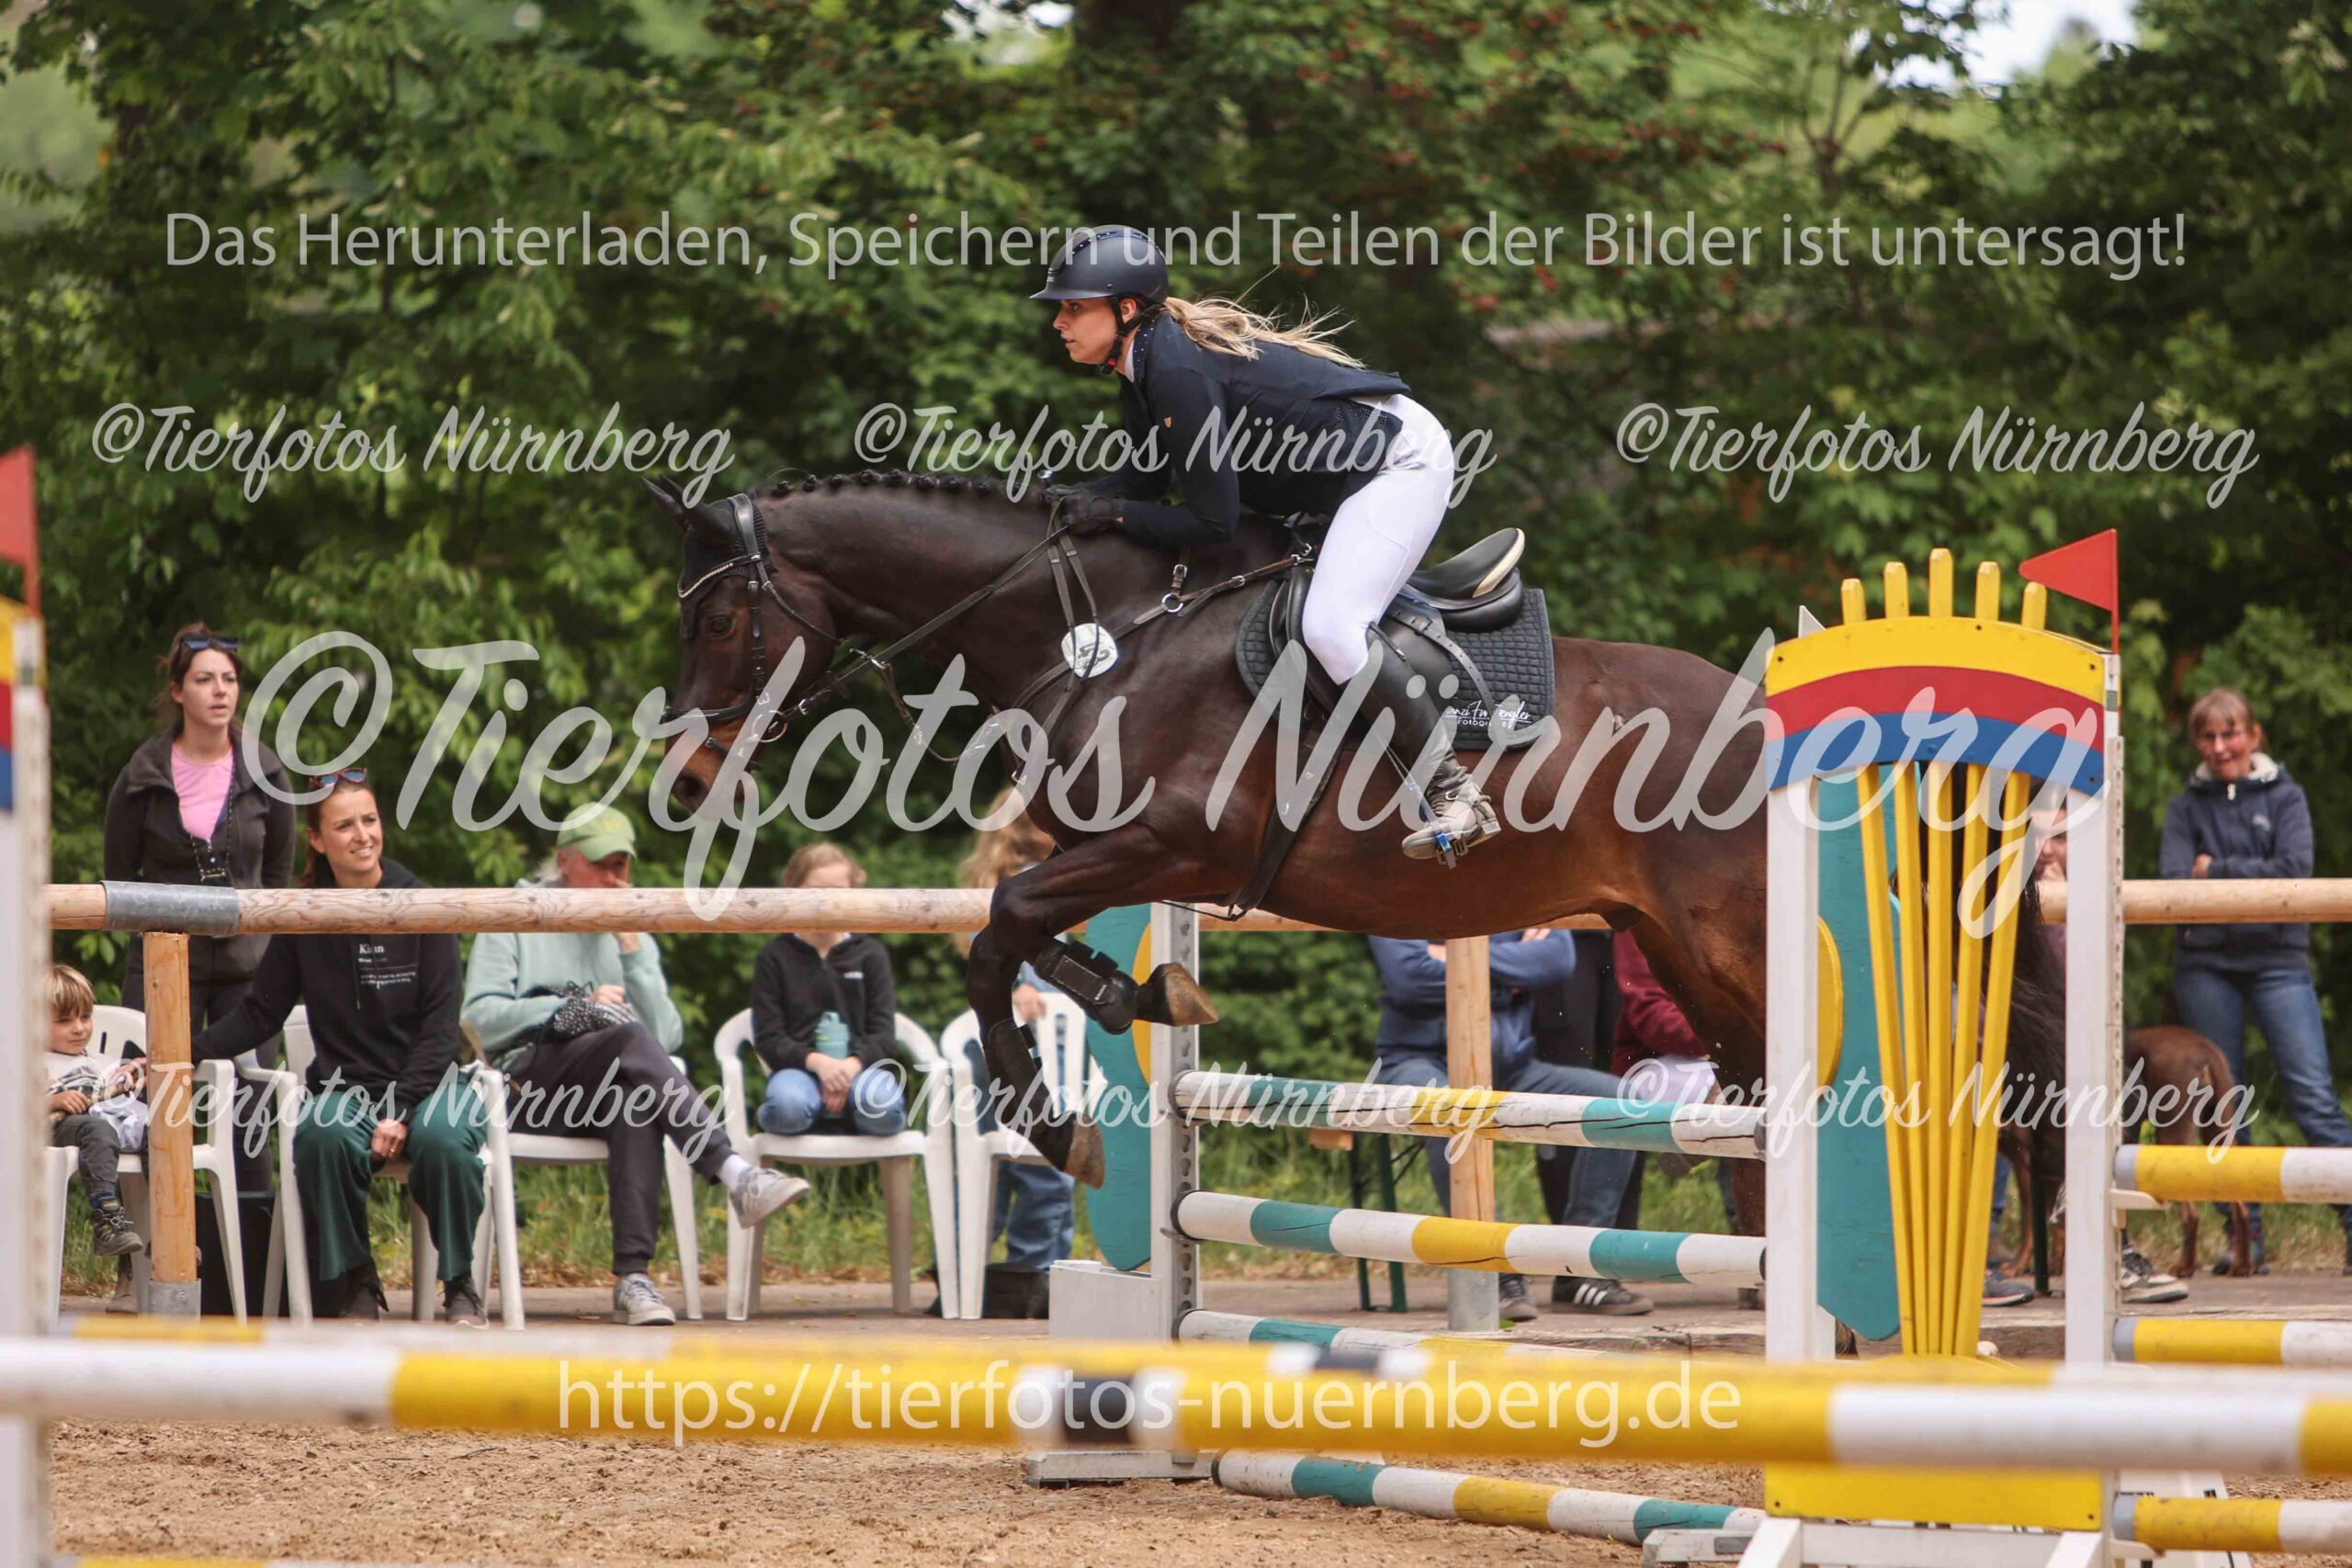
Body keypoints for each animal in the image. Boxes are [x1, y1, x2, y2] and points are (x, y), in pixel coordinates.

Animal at [646, 470, 2064, 1214]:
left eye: (716, 621)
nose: (694, 766)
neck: (1100, 632)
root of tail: (1779, 721)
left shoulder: (1163, 843)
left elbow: (1000, 940)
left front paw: (1061, 1129)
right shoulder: (1118, 855)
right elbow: (1030, 942)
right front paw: (1149, 994)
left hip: (1740, 939)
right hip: (1684, 956)